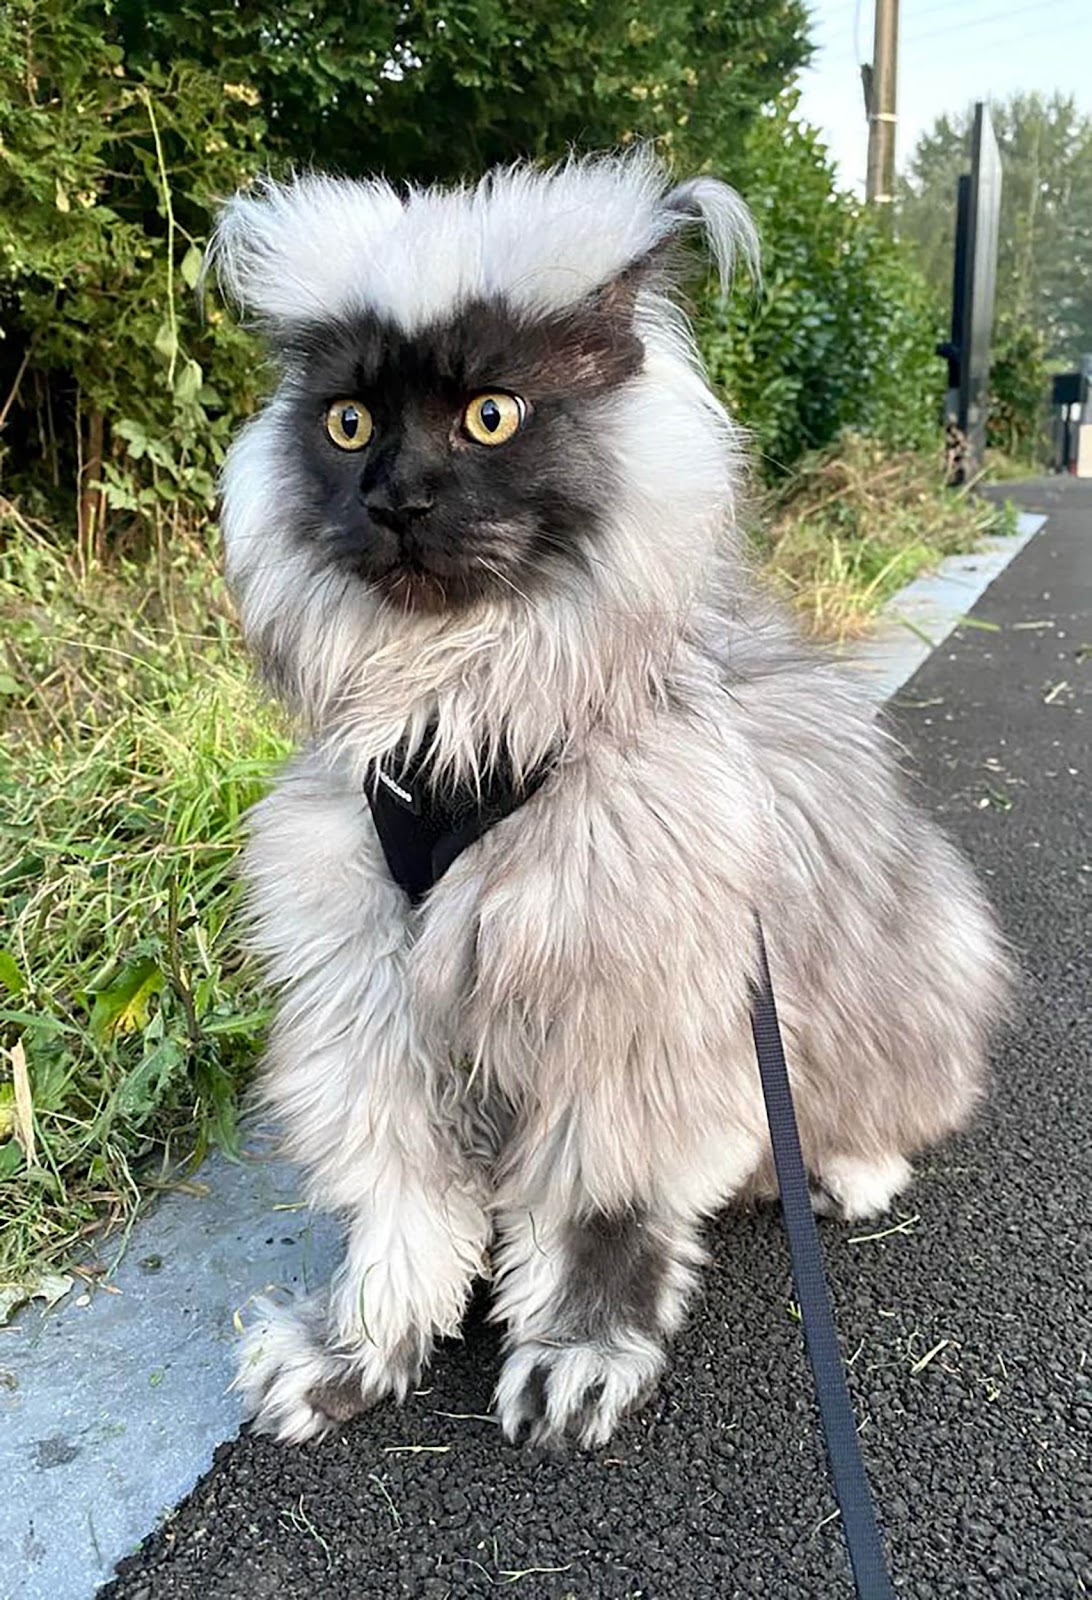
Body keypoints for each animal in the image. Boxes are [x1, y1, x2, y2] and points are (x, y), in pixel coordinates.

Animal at [212, 152, 1011, 1452]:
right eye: (347, 423)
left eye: (492, 414)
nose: (395, 498)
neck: (463, 709)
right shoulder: (374, 1012)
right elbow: (401, 1215)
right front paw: (352, 1354)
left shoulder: (623, 1026)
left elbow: (598, 1215)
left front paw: (576, 1358)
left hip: (909, 968)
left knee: (897, 1106)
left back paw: (846, 1173)